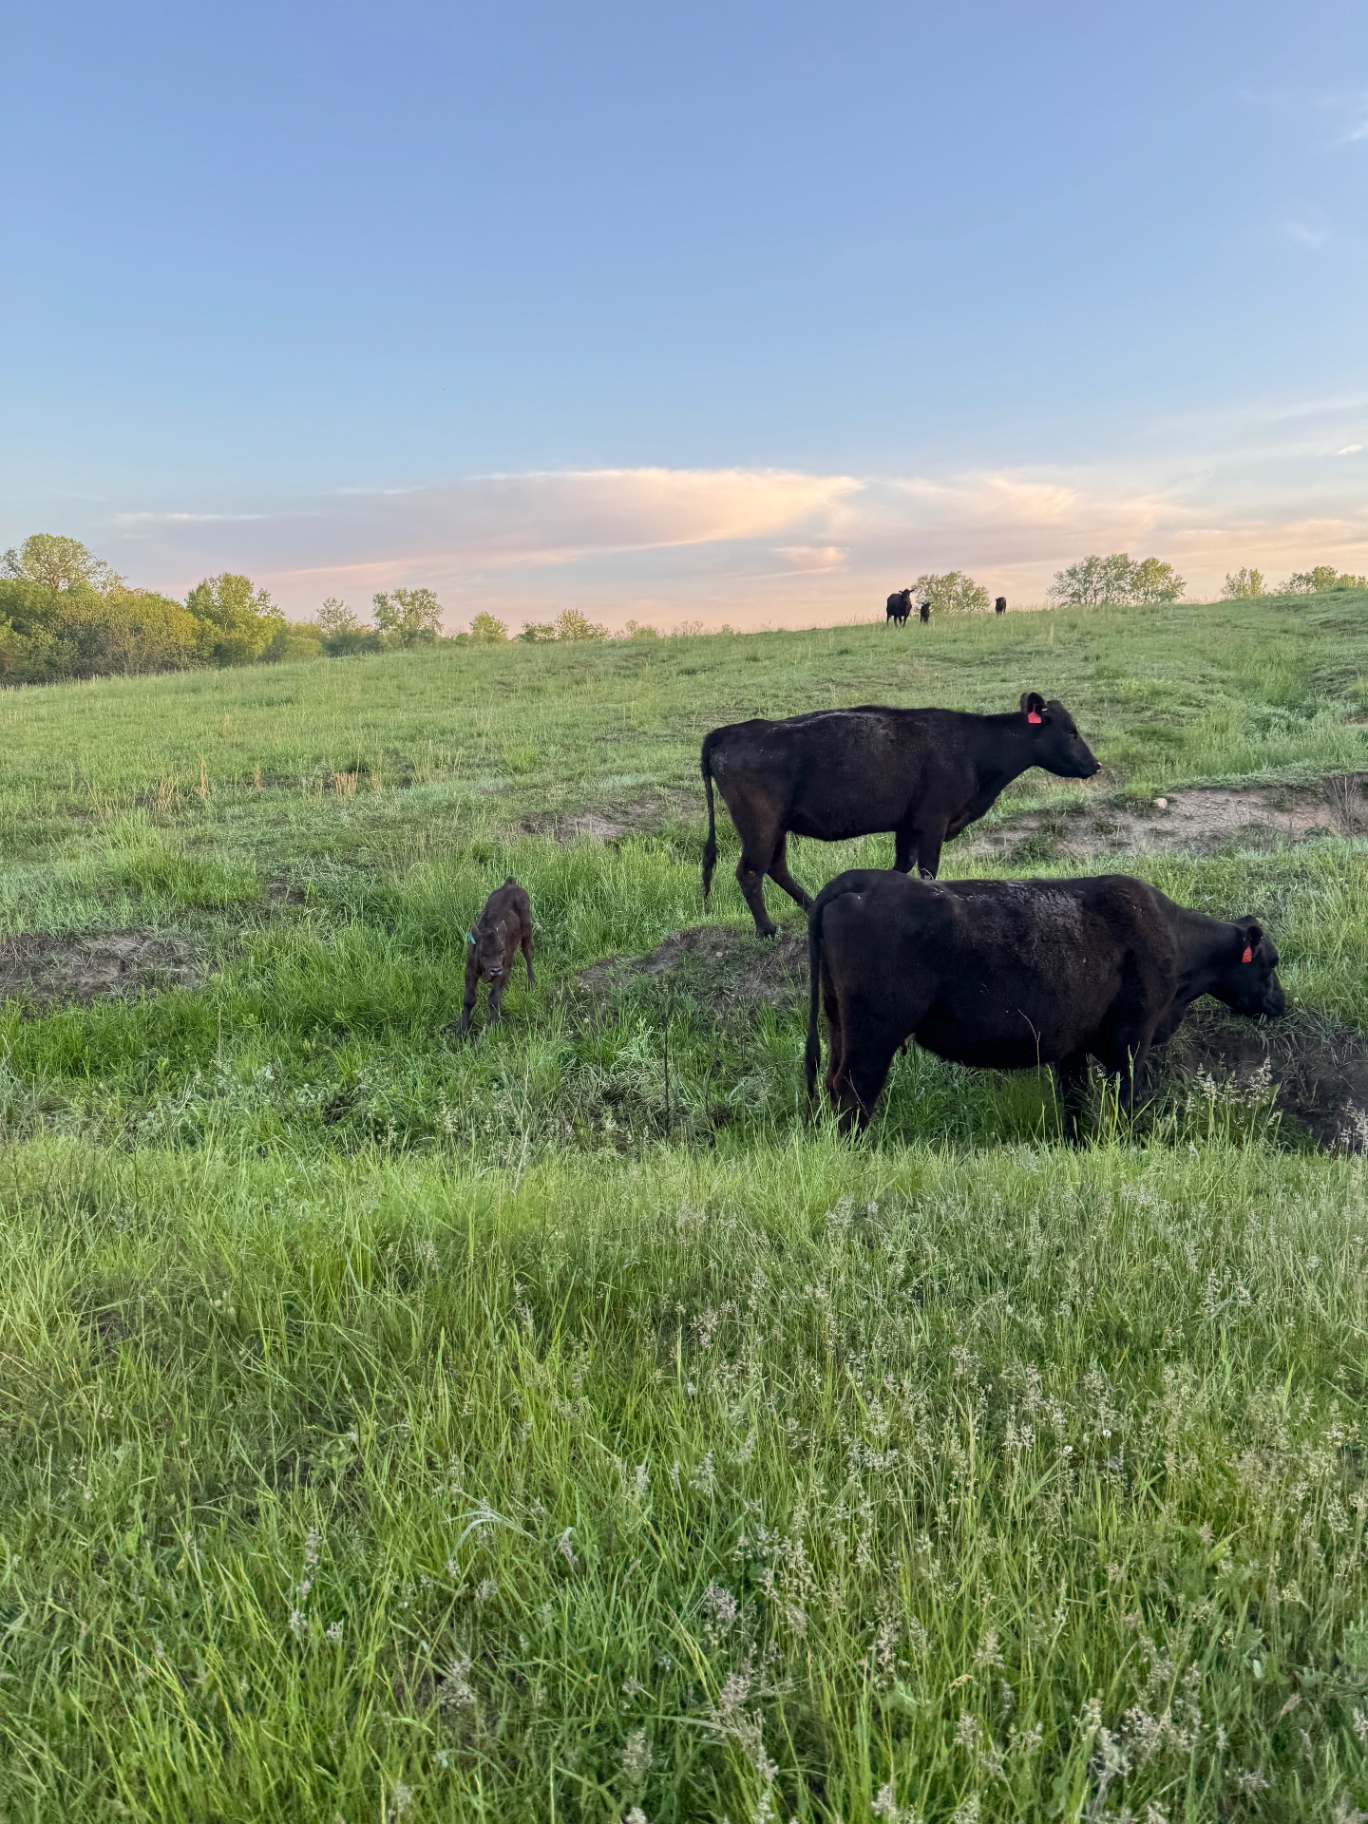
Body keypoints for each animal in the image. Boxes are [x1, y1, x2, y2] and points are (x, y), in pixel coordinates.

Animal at [459, 877, 535, 1032]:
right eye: (483, 953)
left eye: (502, 950)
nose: (495, 969)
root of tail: (510, 884)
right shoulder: (470, 971)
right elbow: (469, 999)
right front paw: (462, 1029)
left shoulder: (503, 969)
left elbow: (493, 999)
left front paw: (492, 1026)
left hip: (526, 931)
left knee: (528, 953)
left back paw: (532, 981)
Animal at [700, 692, 1100, 936]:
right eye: (1071, 731)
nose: (1095, 765)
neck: (973, 747)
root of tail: (728, 732)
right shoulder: (933, 823)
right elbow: (928, 871)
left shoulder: (907, 826)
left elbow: (901, 867)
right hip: (760, 826)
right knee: (750, 872)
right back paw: (767, 928)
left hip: (777, 827)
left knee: (775, 867)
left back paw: (811, 907)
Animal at [804, 869, 1286, 1139]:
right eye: (1271, 962)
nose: (1281, 1003)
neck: (1171, 936)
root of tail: (863, 879)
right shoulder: (1131, 1042)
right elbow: (1125, 1103)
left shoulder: (1072, 1049)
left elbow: (1075, 1105)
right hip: (875, 1034)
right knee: (855, 1091)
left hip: (838, 1023)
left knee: (832, 1084)